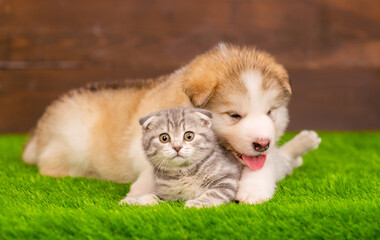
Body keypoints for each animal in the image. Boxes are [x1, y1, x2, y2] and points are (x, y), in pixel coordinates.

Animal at [23, 43, 320, 204]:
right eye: (234, 115)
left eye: (271, 112)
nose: (262, 143)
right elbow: (149, 173)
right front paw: (139, 196)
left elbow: (265, 165)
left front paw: (254, 189)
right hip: (70, 145)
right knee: (53, 167)